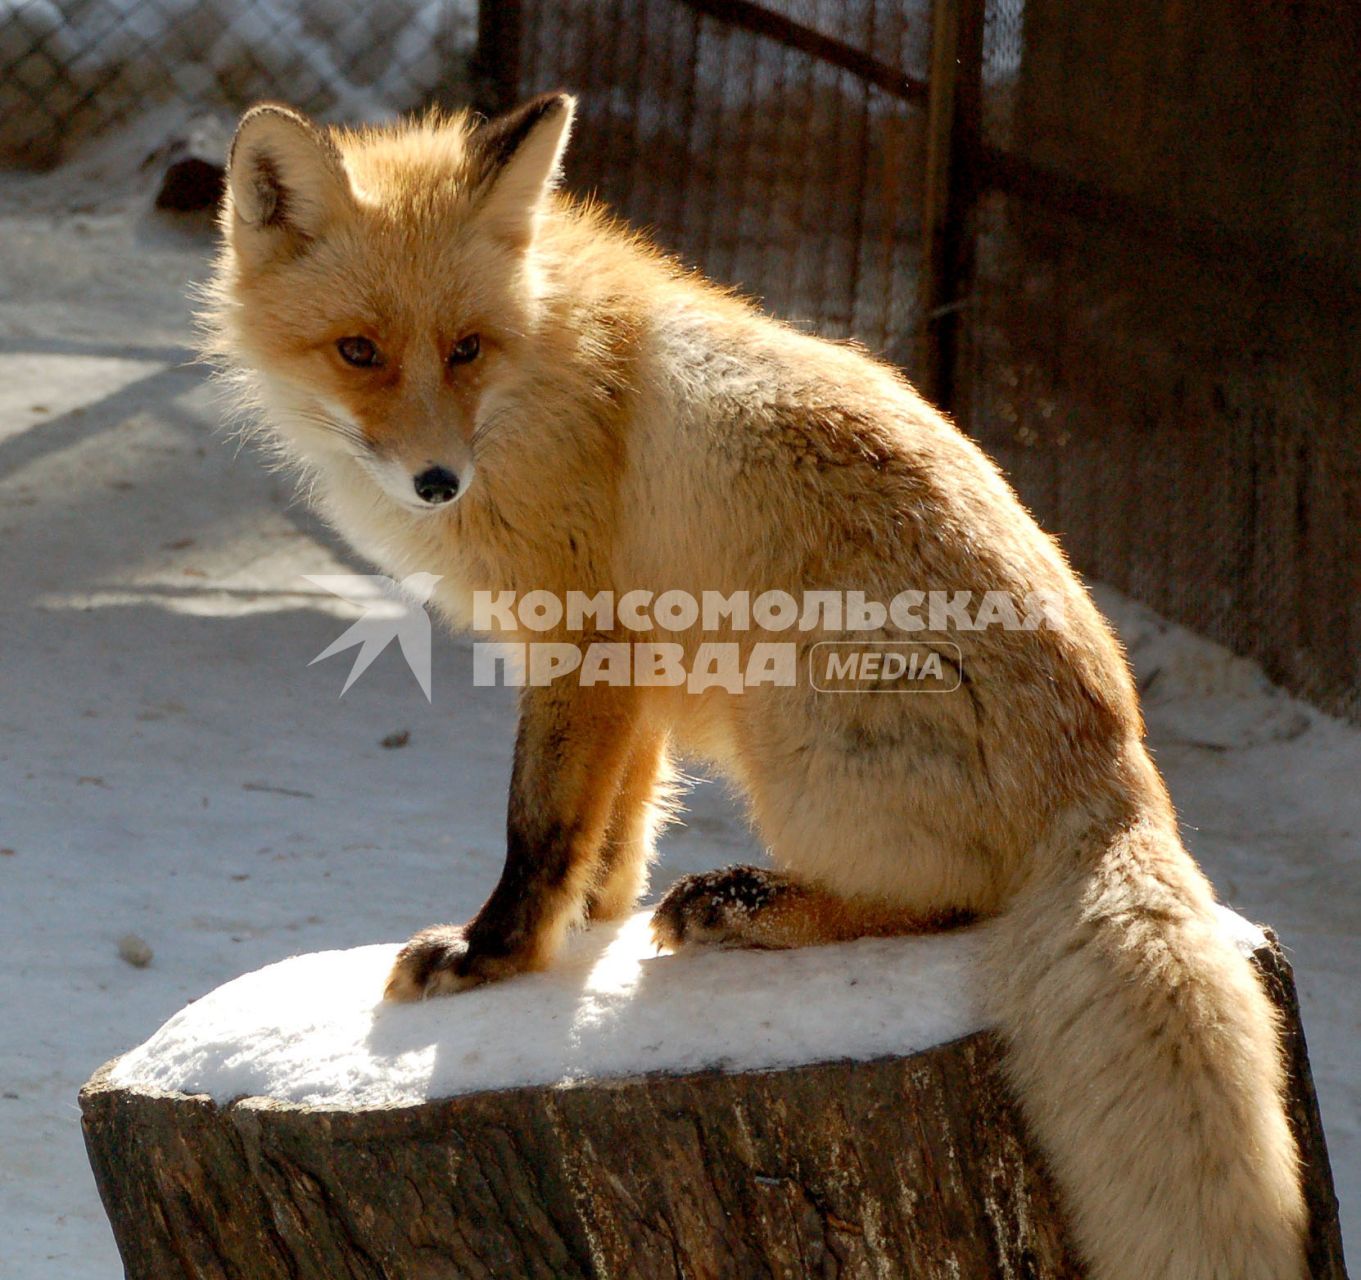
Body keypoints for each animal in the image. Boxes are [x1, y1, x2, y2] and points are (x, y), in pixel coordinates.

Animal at [204, 92, 1306, 1280]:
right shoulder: (631, 670)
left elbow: (538, 828)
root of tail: (1122, 775)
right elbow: (613, 829)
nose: (436, 481)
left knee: (952, 901)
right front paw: (590, 927)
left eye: (464, 348)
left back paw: (745, 903)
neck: (539, 377)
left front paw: (495, 956)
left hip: (790, 719)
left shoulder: (585, 640)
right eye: (358, 351)